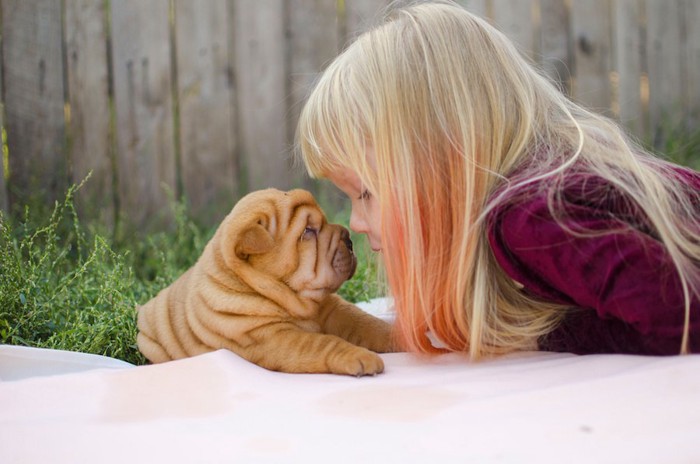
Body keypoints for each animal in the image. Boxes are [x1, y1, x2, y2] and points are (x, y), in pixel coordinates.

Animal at [138, 187, 394, 376]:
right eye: (308, 231)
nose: (349, 240)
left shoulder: (332, 310)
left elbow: (365, 323)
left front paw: (395, 335)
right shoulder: (273, 337)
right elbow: (322, 343)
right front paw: (360, 356)